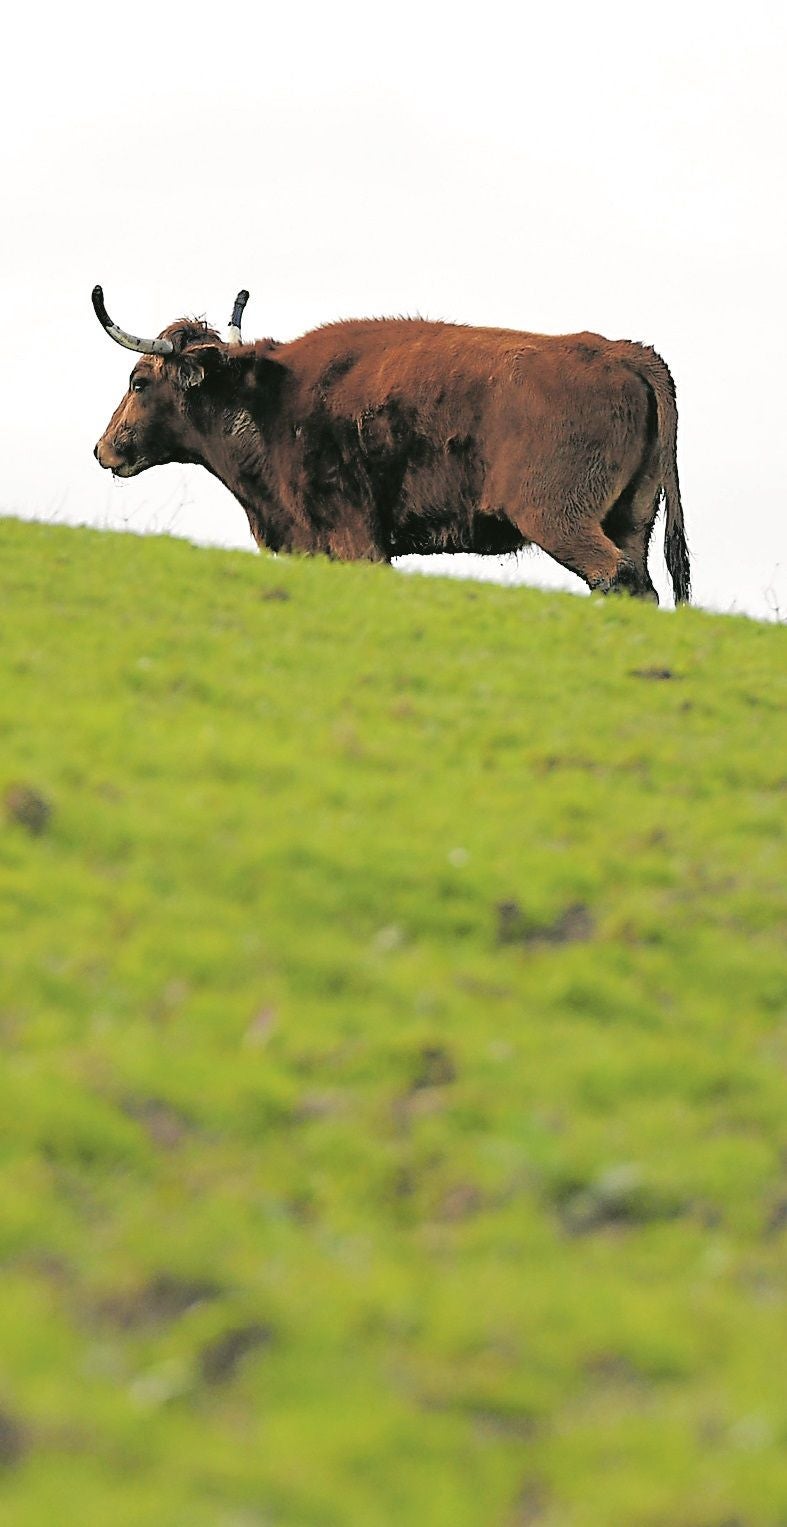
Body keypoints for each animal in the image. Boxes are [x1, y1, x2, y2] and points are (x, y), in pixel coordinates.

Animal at [92, 287, 690, 601]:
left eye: (138, 382)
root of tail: (628, 352)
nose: (104, 449)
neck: (271, 396)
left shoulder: (356, 540)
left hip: (559, 519)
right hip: (630, 519)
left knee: (614, 576)